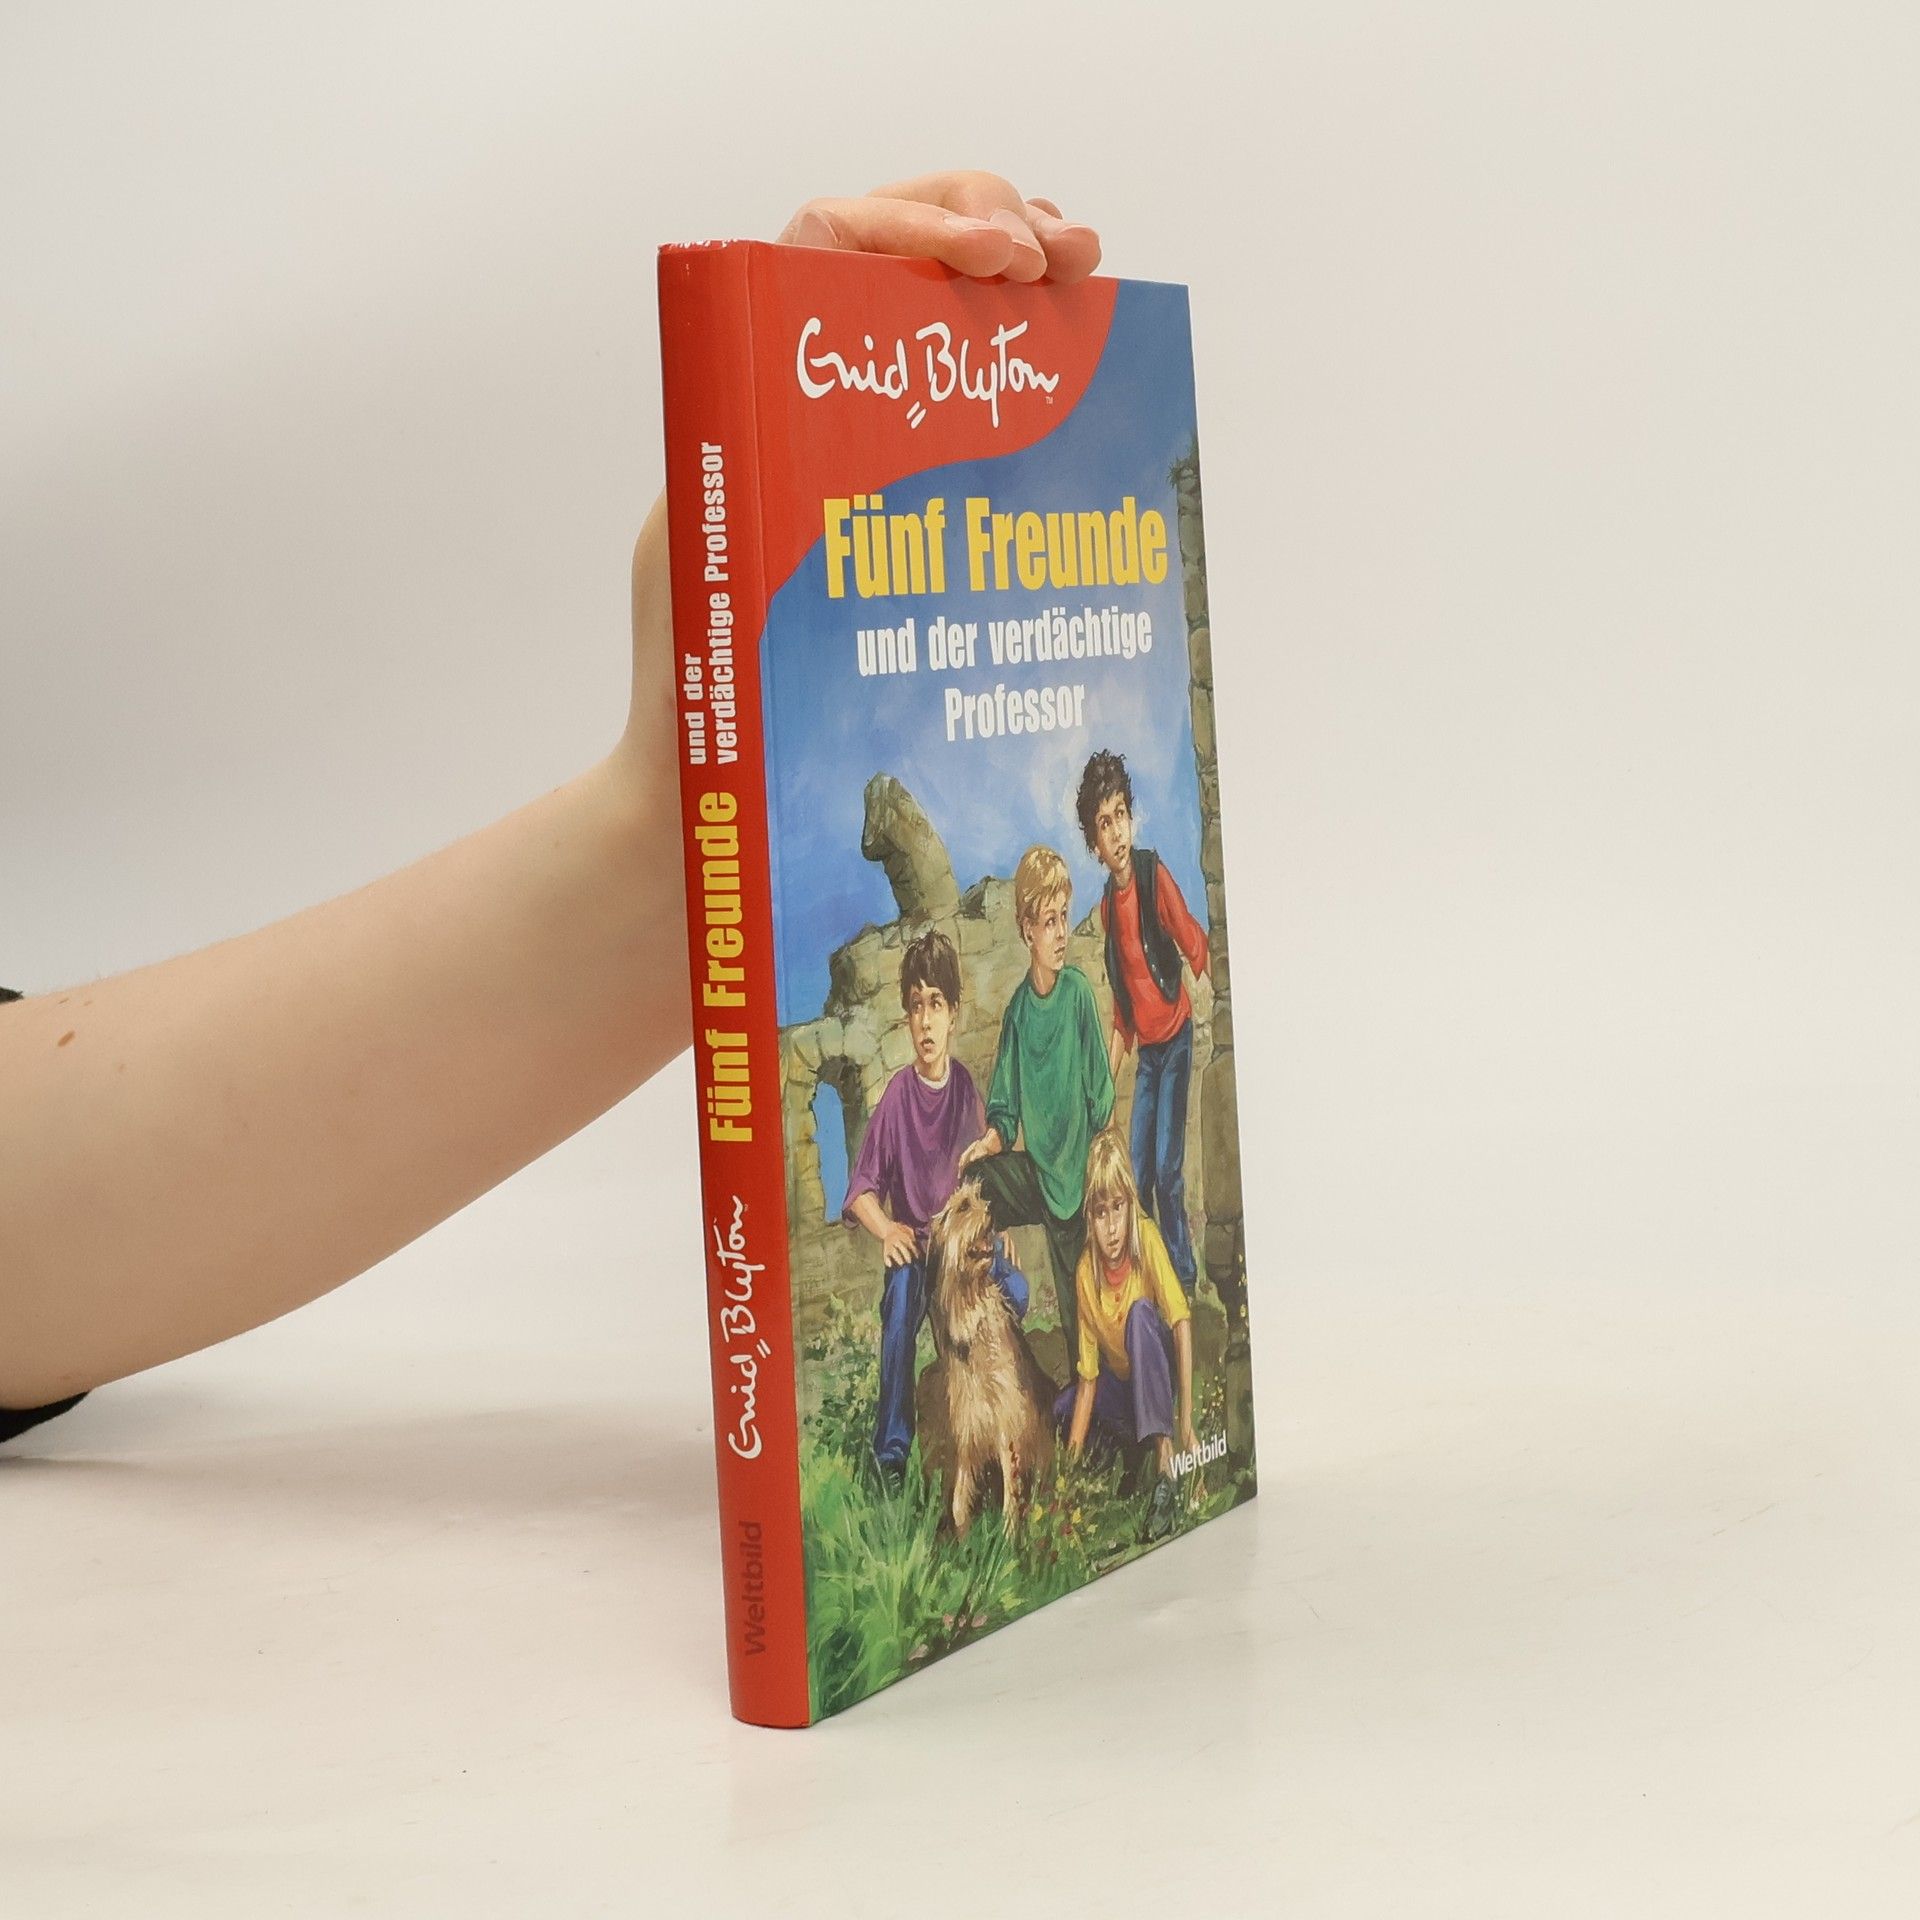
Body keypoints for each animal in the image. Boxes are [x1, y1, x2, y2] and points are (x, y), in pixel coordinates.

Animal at [920, 1178, 1057, 1537]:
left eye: (980, 1198)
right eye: (963, 1206)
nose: (994, 1210)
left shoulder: (1007, 1424)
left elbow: (1011, 1492)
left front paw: (1008, 1539)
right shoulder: (968, 1434)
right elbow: (958, 1501)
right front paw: (966, 1542)